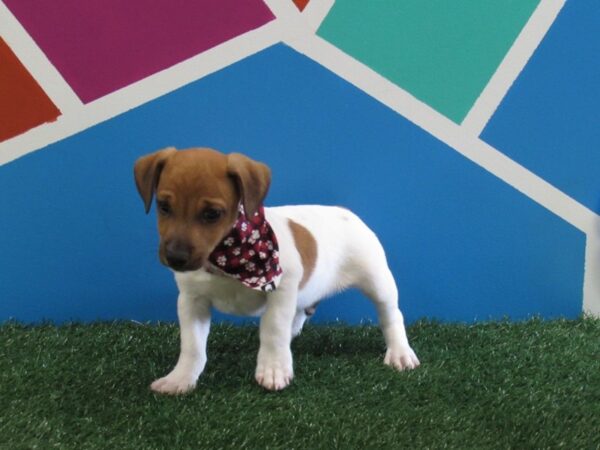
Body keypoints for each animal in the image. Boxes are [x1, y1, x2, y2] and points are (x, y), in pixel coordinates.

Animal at [134, 149, 420, 394]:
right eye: (163, 207)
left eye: (212, 214)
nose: (176, 258)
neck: (227, 259)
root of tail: (345, 212)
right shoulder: (192, 301)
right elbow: (192, 345)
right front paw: (180, 378)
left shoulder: (280, 292)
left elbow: (272, 330)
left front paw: (273, 369)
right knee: (300, 313)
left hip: (378, 283)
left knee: (391, 316)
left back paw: (399, 352)